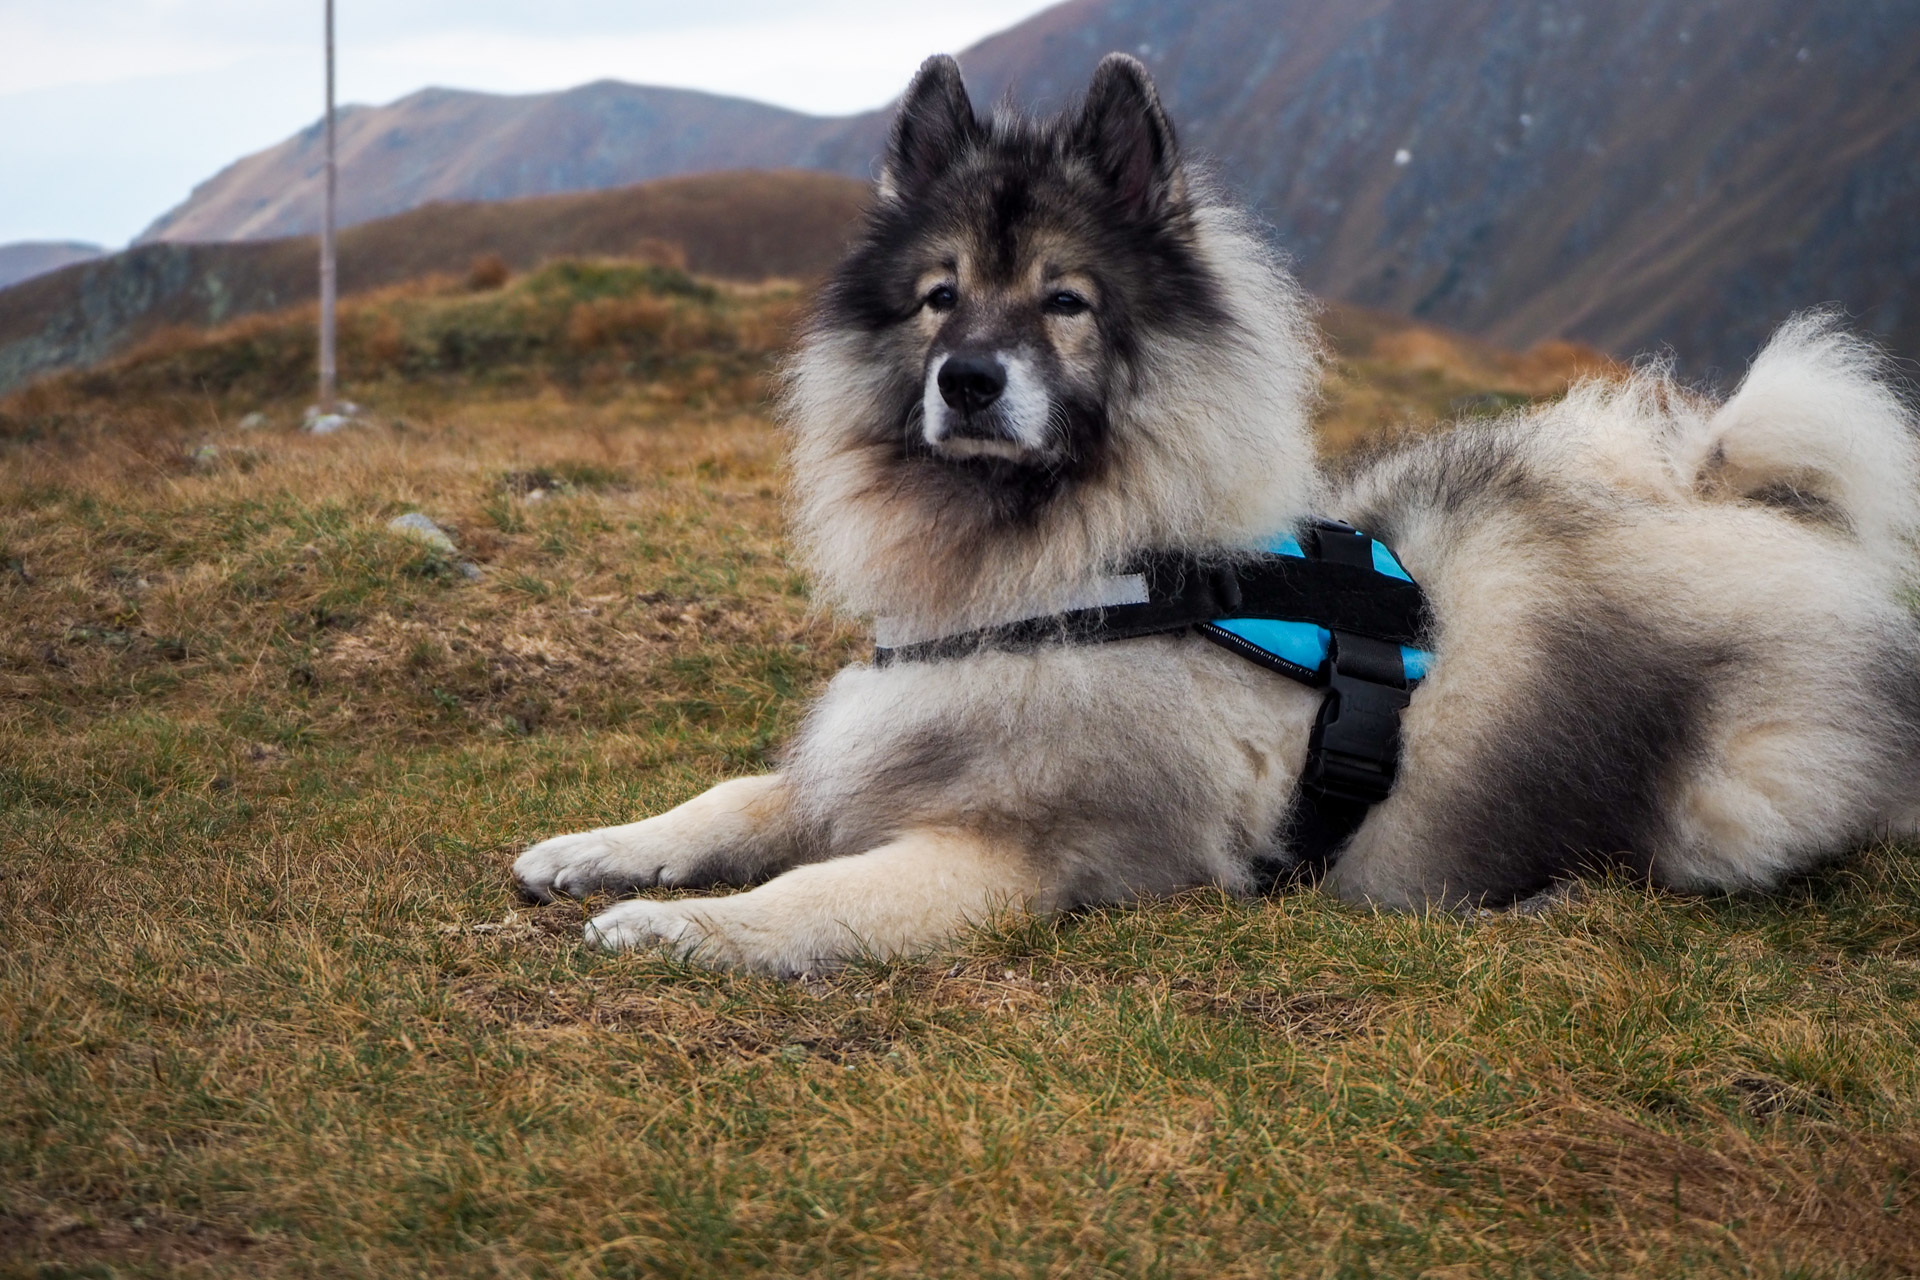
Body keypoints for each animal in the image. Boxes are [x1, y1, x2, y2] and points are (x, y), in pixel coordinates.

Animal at [510, 47, 1920, 971]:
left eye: (1066, 302)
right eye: (938, 296)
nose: (970, 379)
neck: (1057, 579)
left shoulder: (1003, 851)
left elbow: (810, 891)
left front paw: (678, 925)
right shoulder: (876, 749)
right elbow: (737, 797)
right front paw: (598, 847)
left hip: (1735, 795)